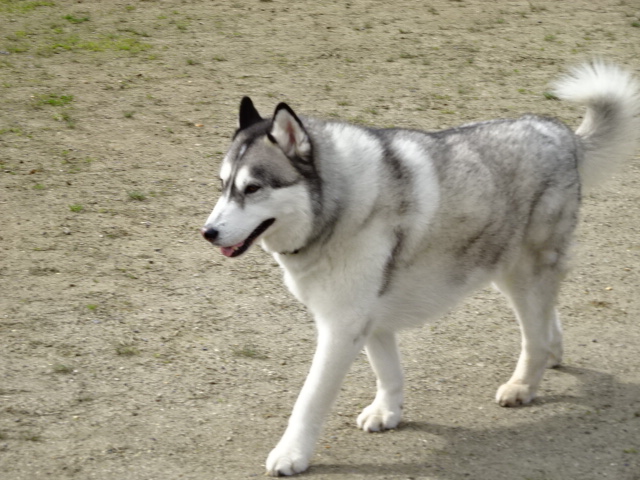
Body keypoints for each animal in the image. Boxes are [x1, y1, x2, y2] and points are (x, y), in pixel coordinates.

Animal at [202, 61, 640, 476]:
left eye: (252, 188)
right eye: (222, 185)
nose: (208, 232)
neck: (341, 207)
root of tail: (561, 133)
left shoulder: (341, 326)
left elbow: (309, 400)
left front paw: (291, 454)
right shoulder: (370, 320)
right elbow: (388, 372)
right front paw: (388, 412)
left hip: (523, 275)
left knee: (532, 338)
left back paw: (523, 384)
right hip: (504, 268)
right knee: (548, 315)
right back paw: (553, 351)